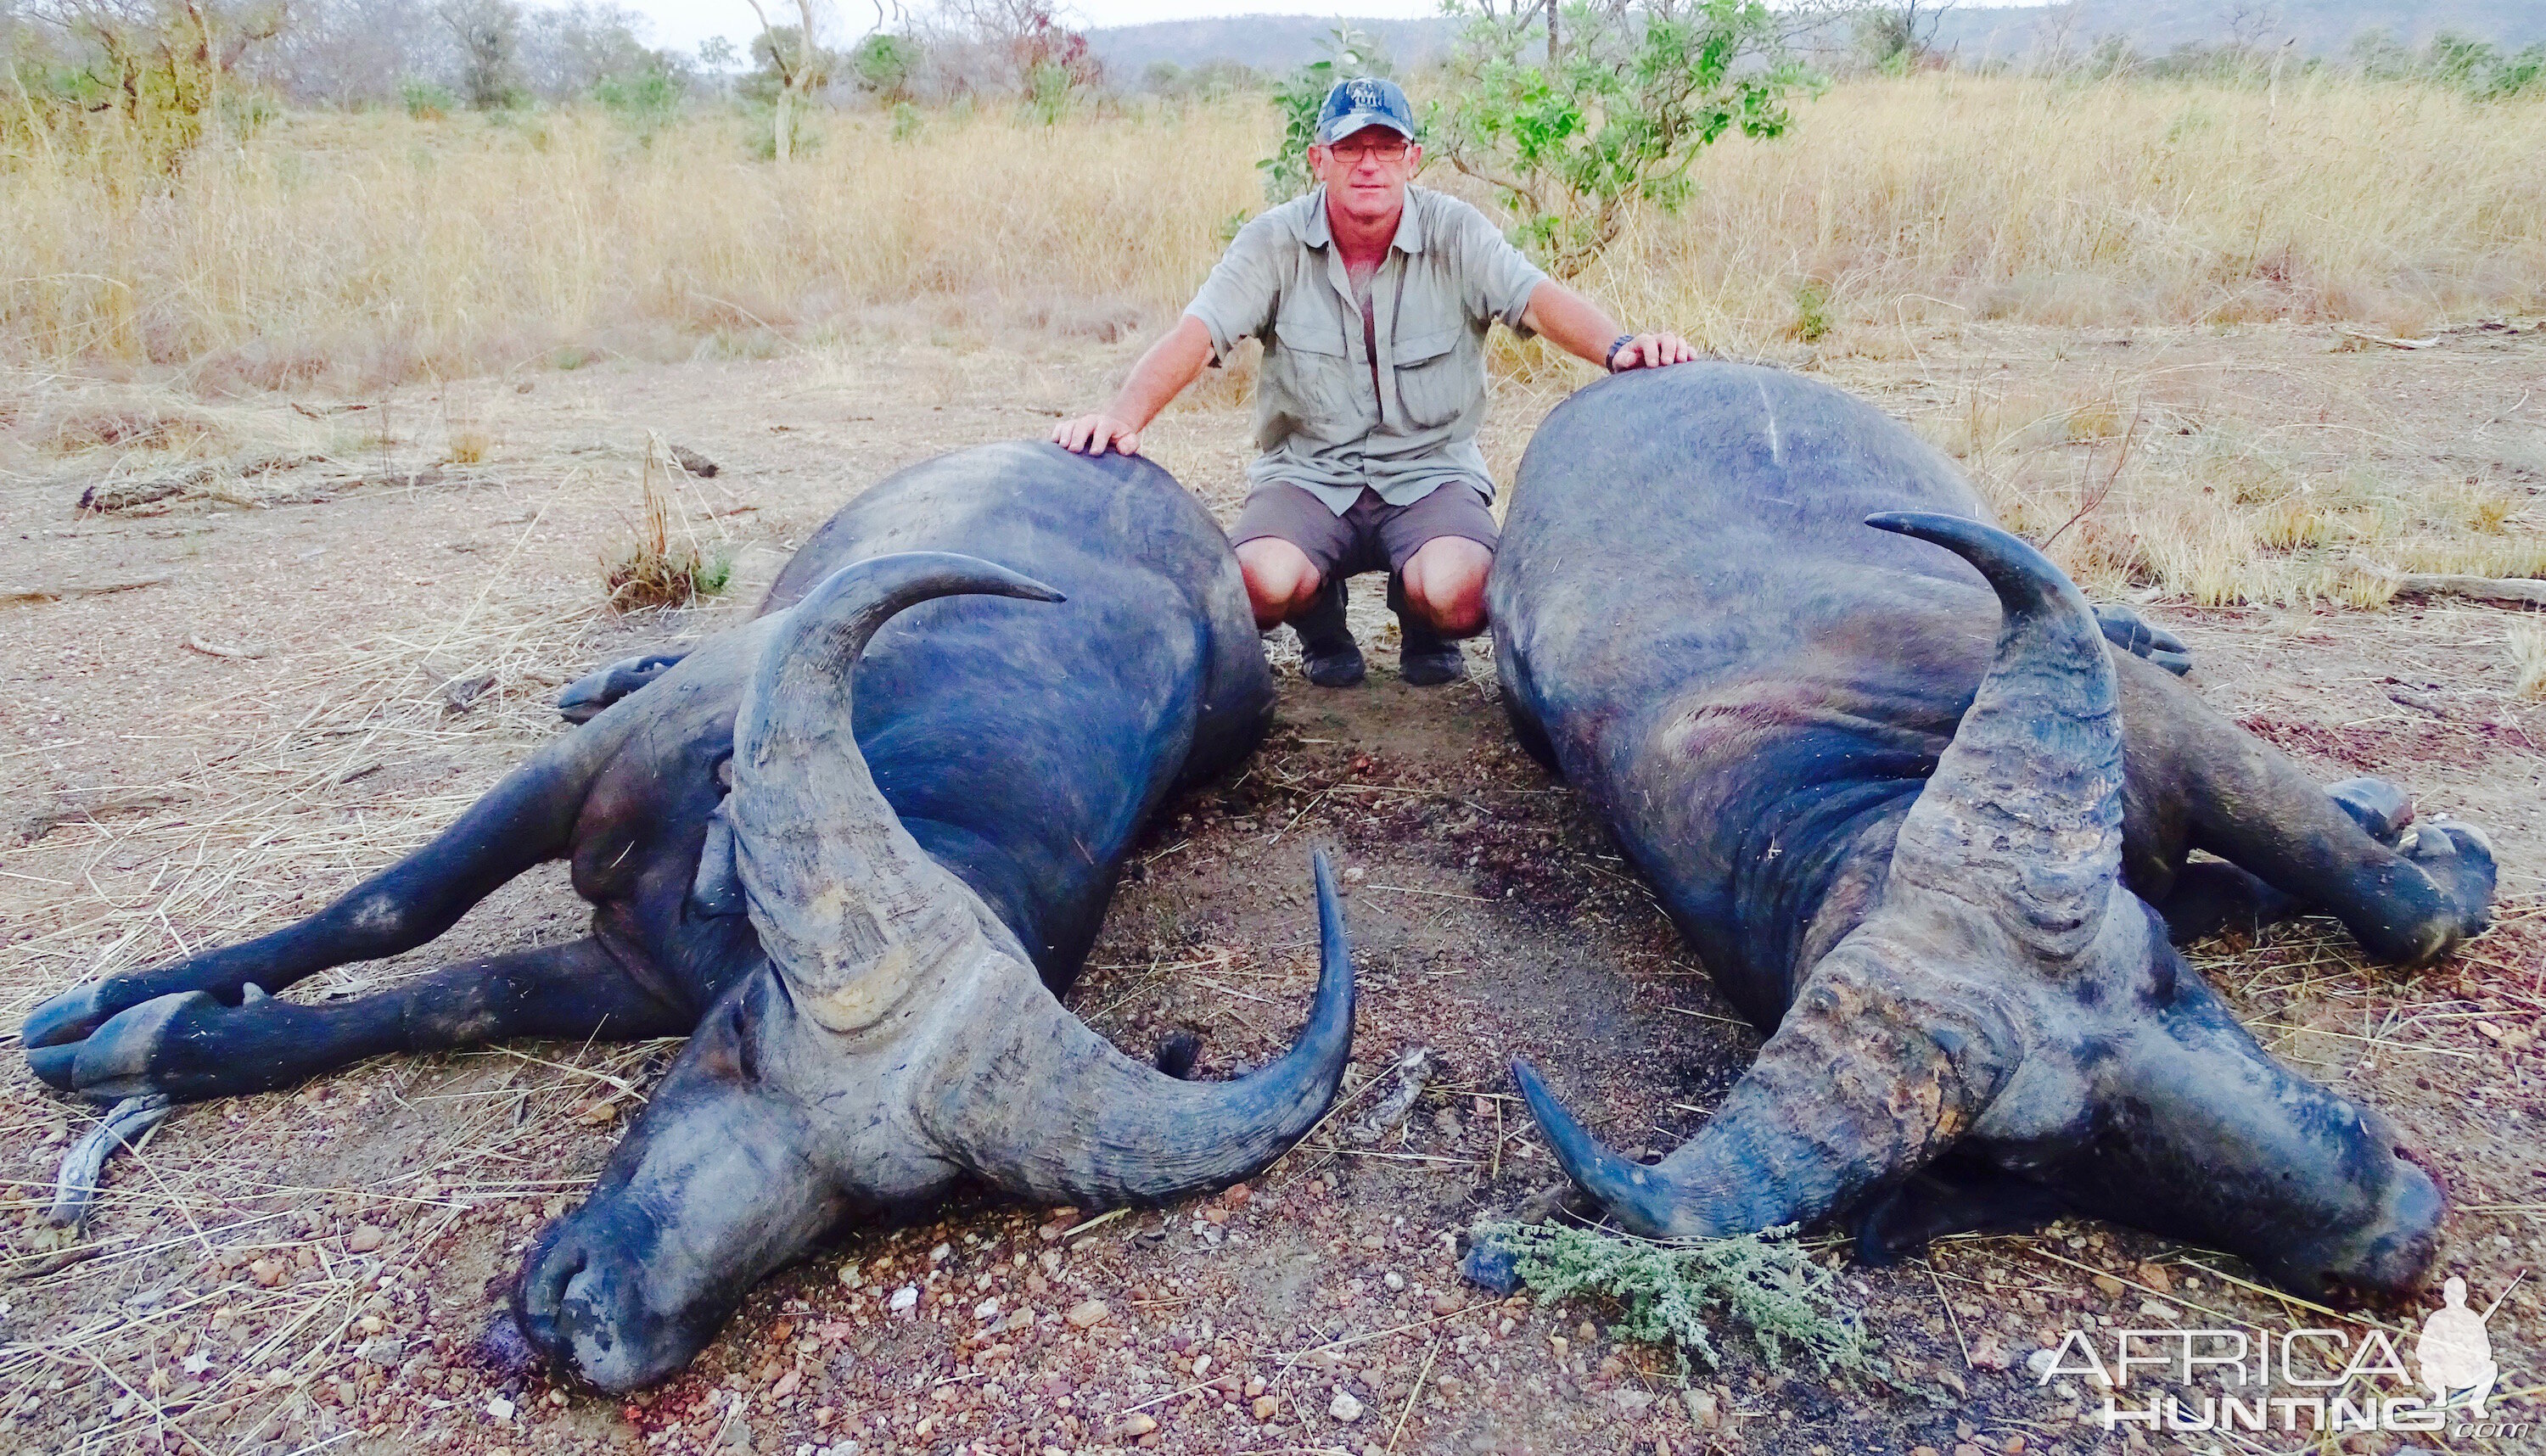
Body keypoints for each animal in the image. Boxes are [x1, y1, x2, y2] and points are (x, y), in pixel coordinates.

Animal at [25, 440, 1354, 1385]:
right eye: (743, 1038)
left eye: (867, 1202)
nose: (593, 1321)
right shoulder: (569, 789)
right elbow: (390, 910)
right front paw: (108, 1016)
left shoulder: (629, 974)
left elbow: (453, 1001)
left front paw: (176, 1036)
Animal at [1487, 364, 2495, 1298]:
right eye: (2057, 1155)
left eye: (2164, 975)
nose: (2393, 1226)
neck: (1833, 763)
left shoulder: (2180, 740)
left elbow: (2392, 899)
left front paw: (2415, 837)